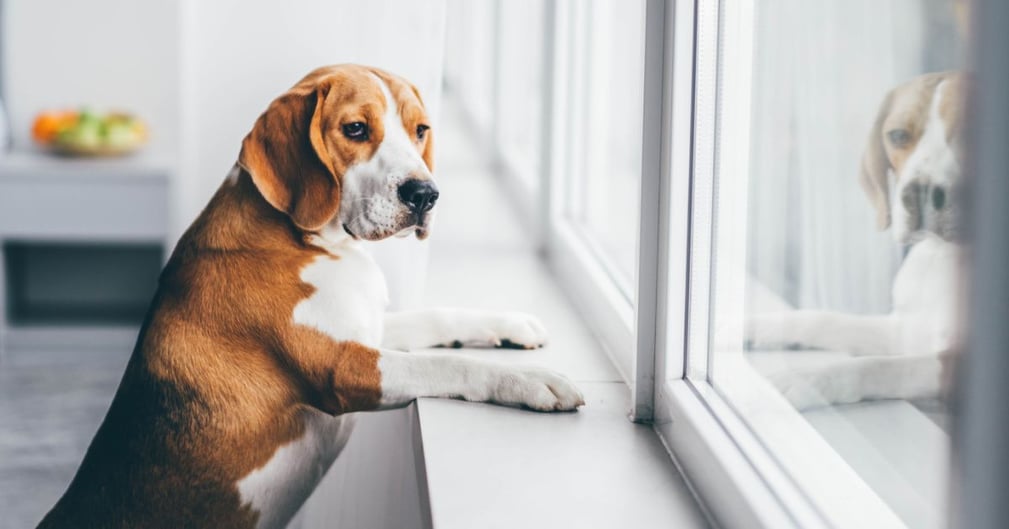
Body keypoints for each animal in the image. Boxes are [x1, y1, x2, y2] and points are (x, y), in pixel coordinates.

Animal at [37, 65, 585, 529]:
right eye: (356, 129)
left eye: (421, 130)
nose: (425, 195)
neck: (317, 242)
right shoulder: (342, 368)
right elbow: (447, 366)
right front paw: (533, 381)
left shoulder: (369, 328)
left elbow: (437, 317)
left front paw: (511, 324)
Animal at [746, 70, 964, 409]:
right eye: (898, 136)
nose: (919, 193)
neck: (944, 257)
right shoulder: (904, 330)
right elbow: (822, 320)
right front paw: (749, 326)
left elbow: (881, 366)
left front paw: (807, 379)